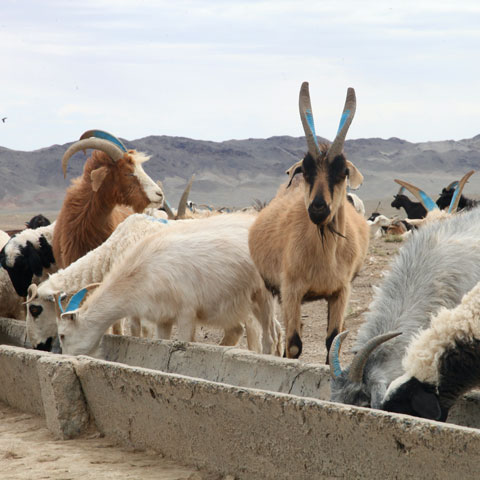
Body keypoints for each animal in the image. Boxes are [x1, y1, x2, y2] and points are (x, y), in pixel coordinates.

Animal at [56, 214, 284, 356]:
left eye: (62, 335)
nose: (66, 357)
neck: (143, 269)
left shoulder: (186, 313)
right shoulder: (162, 319)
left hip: (263, 295)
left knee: (269, 338)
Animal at [249, 82, 370, 360]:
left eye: (342, 171)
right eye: (306, 169)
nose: (317, 208)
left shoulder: (340, 292)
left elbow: (333, 340)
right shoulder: (291, 291)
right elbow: (293, 345)